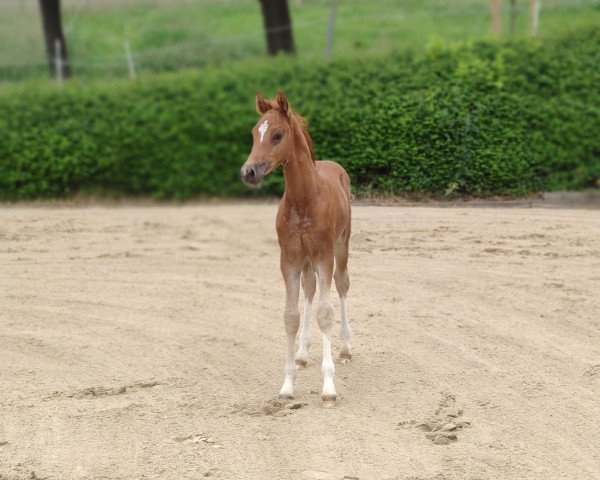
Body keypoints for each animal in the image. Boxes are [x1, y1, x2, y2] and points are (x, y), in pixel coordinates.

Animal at [240, 92, 352, 406]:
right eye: (254, 133)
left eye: (277, 134)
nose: (248, 172)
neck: (304, 200)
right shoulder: (289, 258)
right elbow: (290, 316)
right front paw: (287, 384)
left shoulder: (324, 255)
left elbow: (325, 312)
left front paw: (329, 388)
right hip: (306, 261)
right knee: (310, 289)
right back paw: (302, 354)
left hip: (341, 246)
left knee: (342, 285)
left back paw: (345, 347)